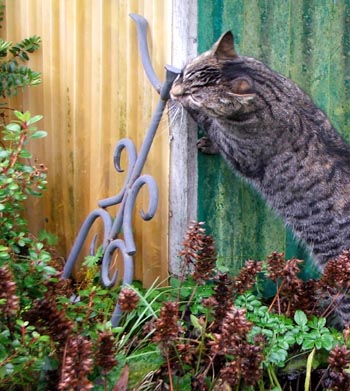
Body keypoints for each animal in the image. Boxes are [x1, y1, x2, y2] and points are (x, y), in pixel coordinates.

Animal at [171, 30, 350, 324]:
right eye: (184, 74)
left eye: (195, 96)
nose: (174, 91)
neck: (270, 93)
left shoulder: (241, 153)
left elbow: (214, 126)